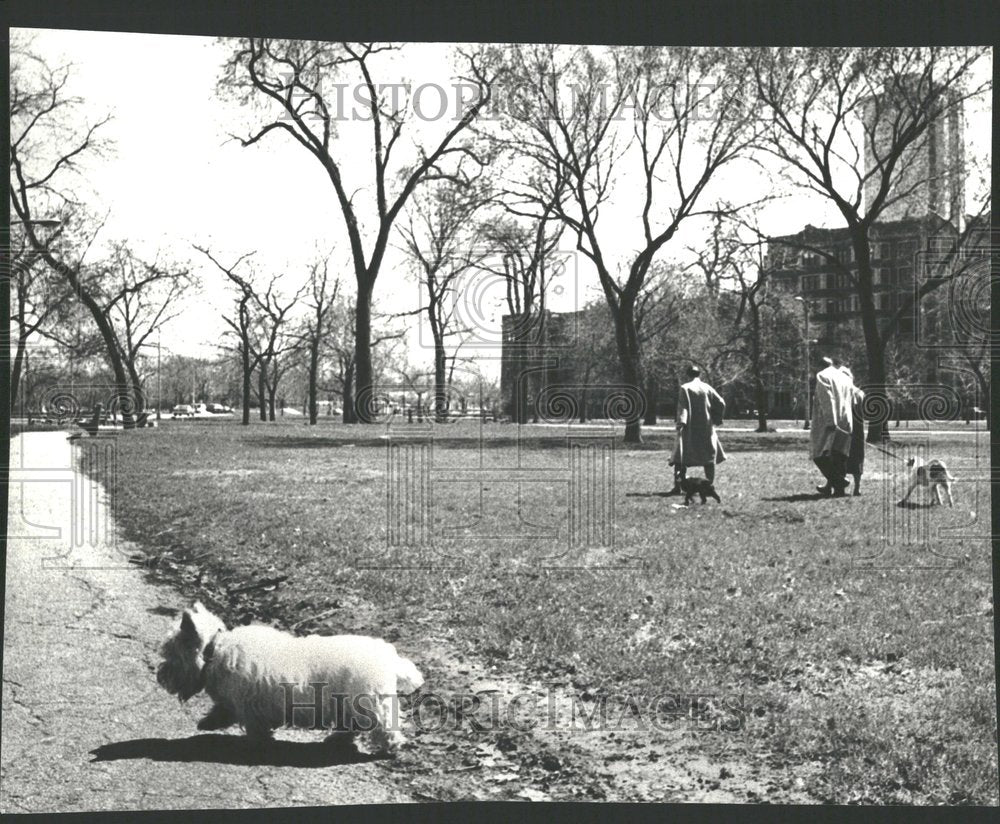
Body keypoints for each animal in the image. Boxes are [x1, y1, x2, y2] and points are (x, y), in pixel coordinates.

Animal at [157, 600, 426, 756]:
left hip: (368, 703)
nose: (160, 676)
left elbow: (252, 726)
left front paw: (257, 743)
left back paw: (390, 747)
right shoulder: (237, 702)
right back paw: (336, 739)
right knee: (352, 727)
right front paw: (208, 723)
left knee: (384, 727)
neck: (214, 649)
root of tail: (389, 657)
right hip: (349, 706)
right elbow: (223, 711)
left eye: (170, 653)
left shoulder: (251, 705)